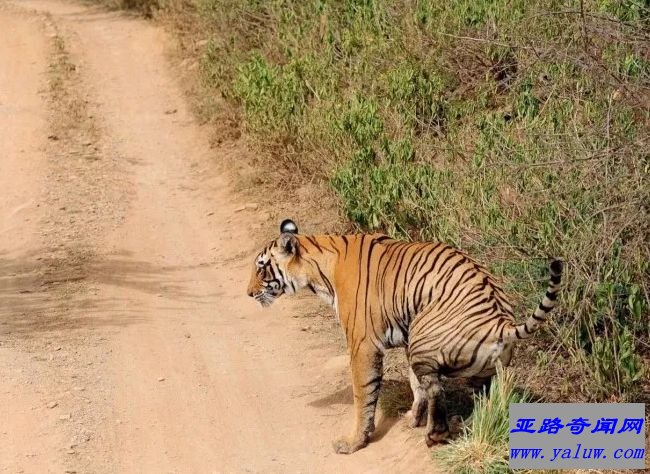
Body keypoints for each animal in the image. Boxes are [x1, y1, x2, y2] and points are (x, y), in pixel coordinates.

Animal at [246, 220, 560, 454]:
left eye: (261, 267)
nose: (248, 293)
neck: (317, 268)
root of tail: (501, 320)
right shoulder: (405, 339)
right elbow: (412, 382)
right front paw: (412, 418)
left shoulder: (362, 344)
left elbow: (363, 394)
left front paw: (354, 441)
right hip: (465, 359)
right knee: (487, 394)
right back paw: (463, 423)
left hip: (423, 335)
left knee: (437, 389)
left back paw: (435, 435)